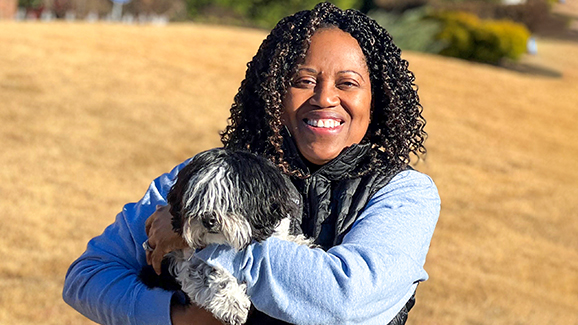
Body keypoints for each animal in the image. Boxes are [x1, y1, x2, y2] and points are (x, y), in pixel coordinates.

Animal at [140, 147, 310, 324]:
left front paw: (301, 242)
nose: (208, 219)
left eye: (229, 198)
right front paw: (231, 303)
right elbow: (206, 271)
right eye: (198, 198)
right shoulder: (181, 259)